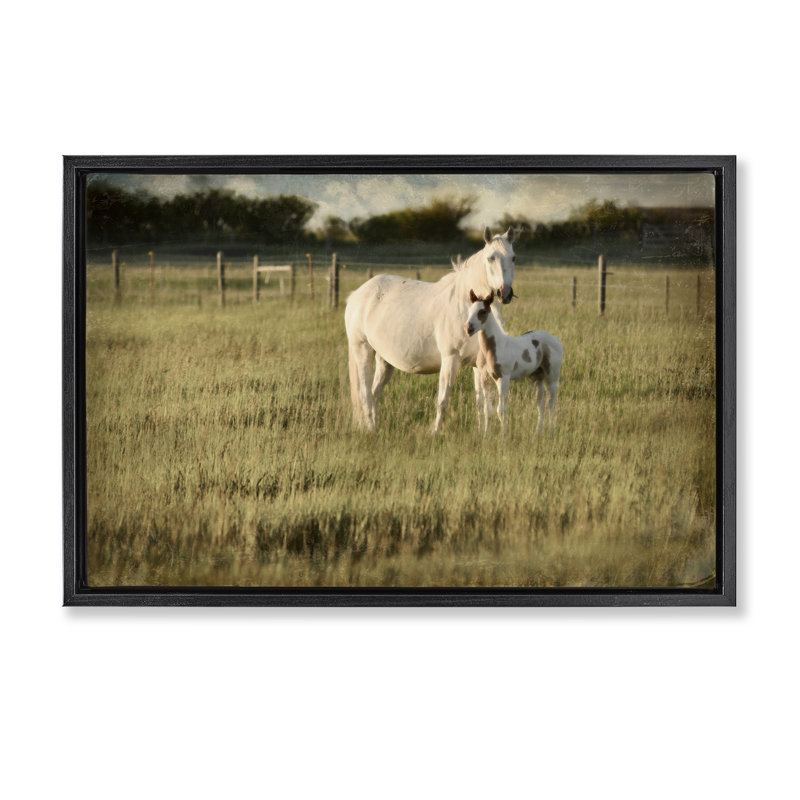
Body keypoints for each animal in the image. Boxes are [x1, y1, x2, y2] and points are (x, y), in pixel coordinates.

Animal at [344, 227, 516, 433]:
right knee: (365, 394)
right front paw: (435, 432)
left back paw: (375, 427)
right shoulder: (450, 358)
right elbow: (443, 400)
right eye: (491, 258)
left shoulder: (478, 364)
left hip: (384, 360)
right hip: (362, 350)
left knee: (375, 392)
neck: (464, 306)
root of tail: (356, 295)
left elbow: (481, 402)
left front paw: (482, 432)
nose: (505, 293)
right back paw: (370, 429)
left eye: (513, 258)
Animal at [464, 290, 563, 436]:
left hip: (552, 377)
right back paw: (538, 432)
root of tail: (556, 339)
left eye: (482, 311)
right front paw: (486, 435)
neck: (492, 348)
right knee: (541, 402)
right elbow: (487, 410)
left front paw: (503, 436)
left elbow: (501, 410)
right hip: (536, 377)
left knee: (551, 402)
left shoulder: (503, 378)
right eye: (469, 310)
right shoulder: (486, 379)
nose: (468, 328)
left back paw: (550, 431)